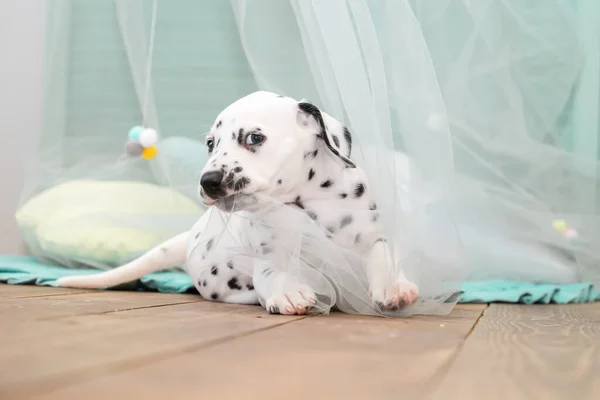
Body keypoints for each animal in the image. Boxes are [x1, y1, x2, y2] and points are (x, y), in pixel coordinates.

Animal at [58, 91, 420, 316]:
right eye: (210, 144)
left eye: (253, 138)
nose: (208, 181)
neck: (309, 203)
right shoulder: (270, 257)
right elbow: (276, 272)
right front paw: (287, 292)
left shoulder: (370, 233)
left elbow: (382, 253)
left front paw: (393, 286)